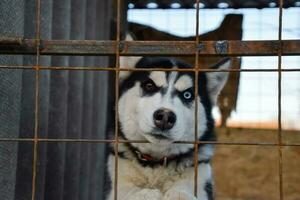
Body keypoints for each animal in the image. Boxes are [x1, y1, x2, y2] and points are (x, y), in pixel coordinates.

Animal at [106, 36, 231, 200]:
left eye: (187, 94)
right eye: (149, 86)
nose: (165, 117)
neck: (157, 164)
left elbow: (184, 190)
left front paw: (179, 194)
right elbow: (128, 192)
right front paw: (145, 194)